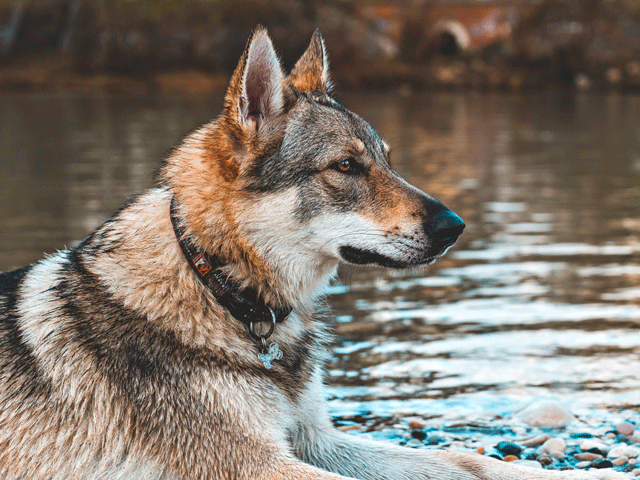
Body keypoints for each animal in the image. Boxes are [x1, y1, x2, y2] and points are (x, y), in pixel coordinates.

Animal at [0, 27, 624, 480]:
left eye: (387, 161)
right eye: (346, 166)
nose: (455, 227)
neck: (219, 289)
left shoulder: (313, 439)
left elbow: (468, 461)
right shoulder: (253, 463)